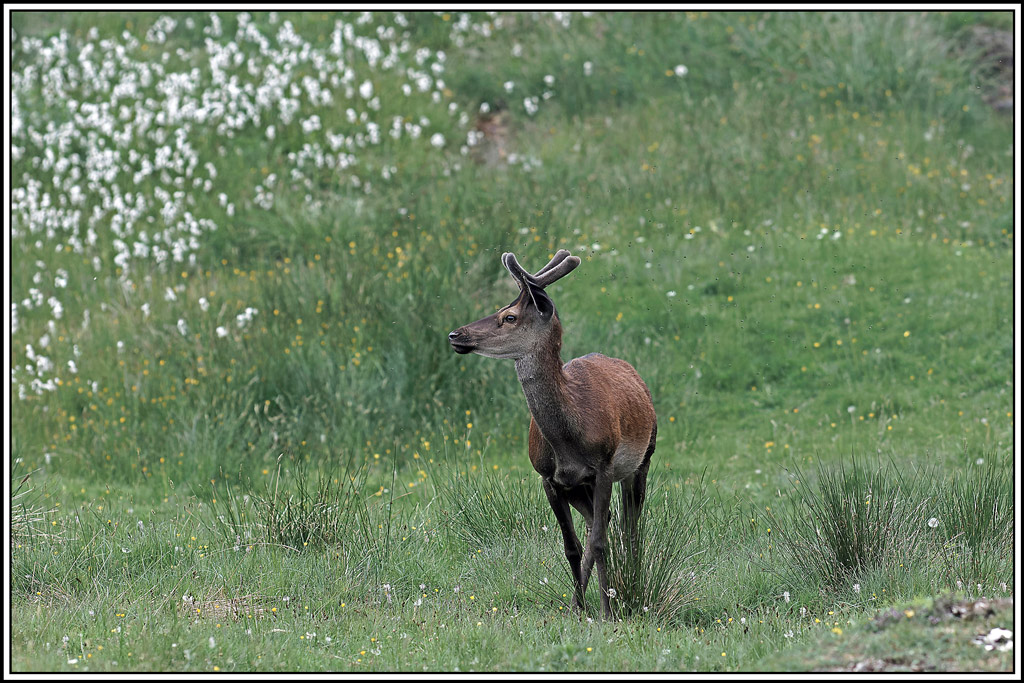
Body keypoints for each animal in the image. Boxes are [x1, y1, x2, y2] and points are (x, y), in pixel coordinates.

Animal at [448, 249, 657, 619]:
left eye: (509, 316)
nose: (455, 335)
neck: (569, 438)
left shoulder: (604, 466)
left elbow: (600, 543)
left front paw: (607, 611)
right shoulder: (549, 477)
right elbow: (572, 546)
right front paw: (578, 607)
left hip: (644, 457)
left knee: (629, 528)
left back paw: (630, 581)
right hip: (580, 487)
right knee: (600, 523)